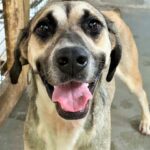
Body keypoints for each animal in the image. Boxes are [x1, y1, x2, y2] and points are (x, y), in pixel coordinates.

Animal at [9, 0, 150, 149]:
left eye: (93, 24)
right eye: (43, 27)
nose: (72, 58)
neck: (65, 125)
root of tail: (113, 12)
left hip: (131, 77)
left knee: (142, 94)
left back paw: (146, 122)